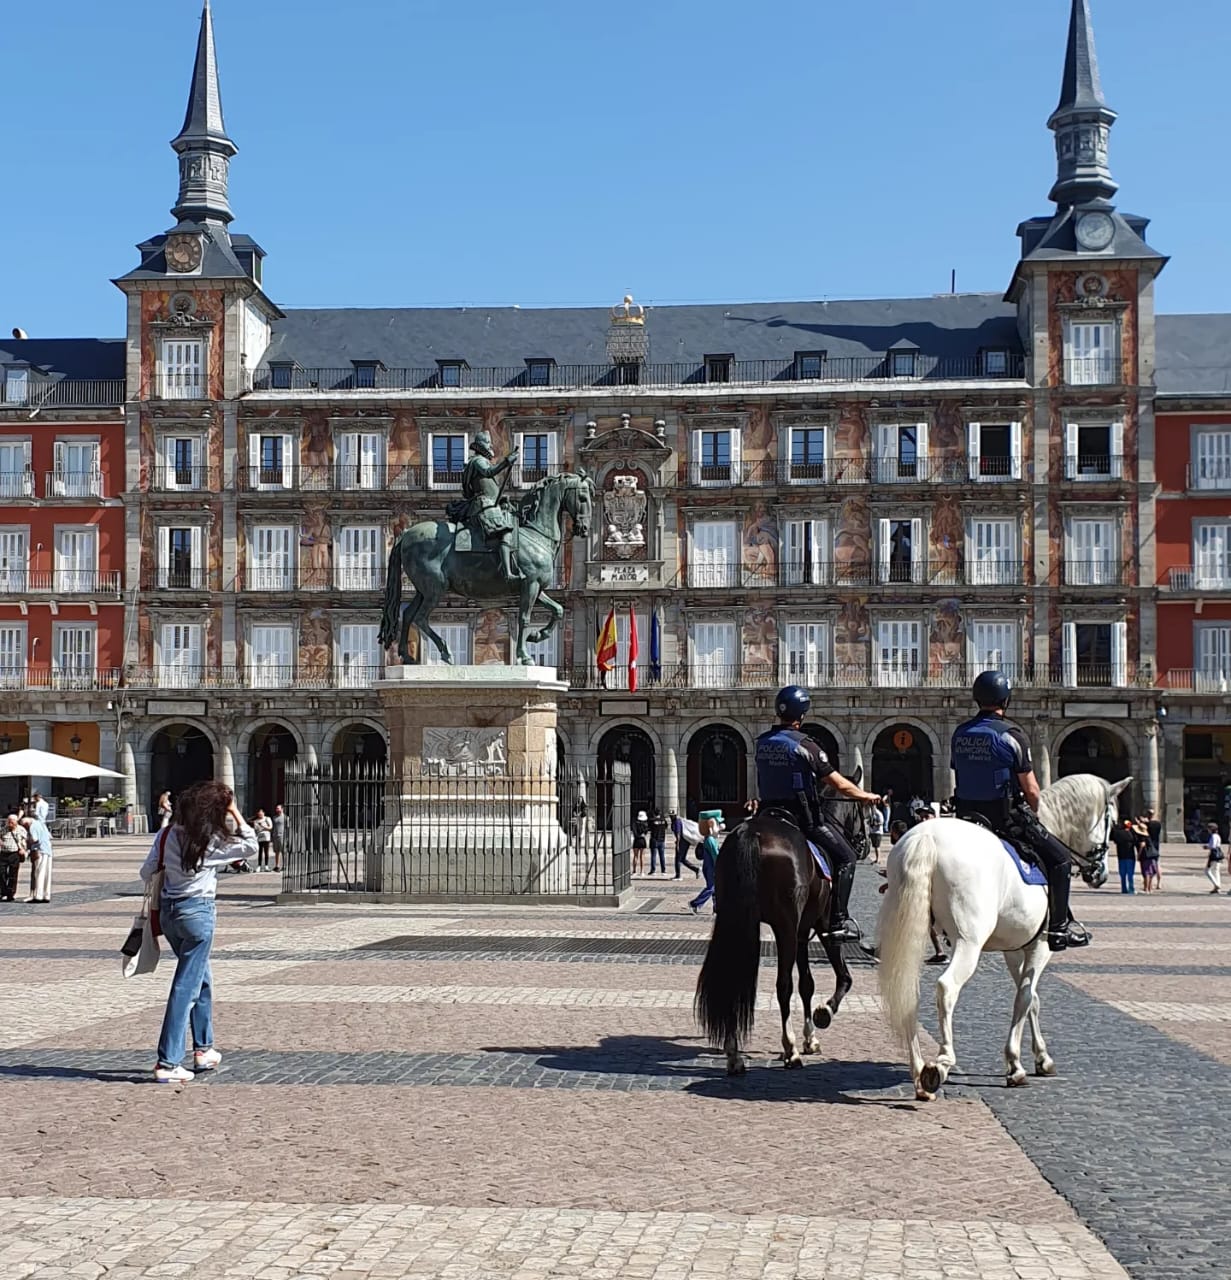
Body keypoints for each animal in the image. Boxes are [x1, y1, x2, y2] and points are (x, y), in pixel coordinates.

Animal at [690, 773, 865, 1075]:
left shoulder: (802, 930)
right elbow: (842, 976)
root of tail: (751, 833)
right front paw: (823, 1015)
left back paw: (734, 1055)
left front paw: (811, 1038)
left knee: (731, 978)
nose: (866, 844)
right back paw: (790, 1050)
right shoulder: (821, 925)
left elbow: (807, 983)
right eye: (861, 810)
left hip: (734, 918)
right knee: (783, 985)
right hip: (784, 925)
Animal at [880, 773, 1126, 1105]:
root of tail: (926, 837)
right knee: (946, 988)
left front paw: (1041, 1058)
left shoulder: (1015, 948)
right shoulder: (1041, 946)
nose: (1100, 875)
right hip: (968, 942)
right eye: (1112, 821)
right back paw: (940, 1064)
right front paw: (1015, 1065)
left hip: (911, 930)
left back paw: (919, 1074)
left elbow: (1031, 998)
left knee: (907, 990)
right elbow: (1025, 997)